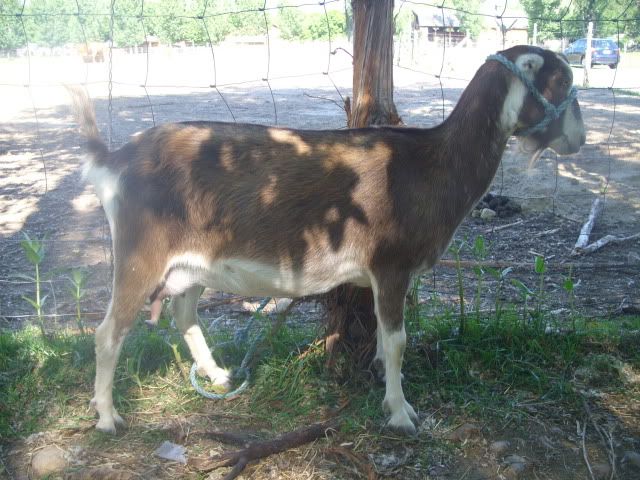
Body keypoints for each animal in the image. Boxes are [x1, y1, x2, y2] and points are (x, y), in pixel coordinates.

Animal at [69, 45, 585, 436]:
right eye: (562, 80)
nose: (579, 140)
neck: (432, 163)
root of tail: (114, 160)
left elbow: (384, 338)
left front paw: (383, 383)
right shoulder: (391, 264)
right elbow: (398, 340)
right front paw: (401, 413)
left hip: (193, 265)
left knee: (185, 316)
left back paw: (218, 376)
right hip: (141, 252)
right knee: (109, 332)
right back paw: (109, 417)